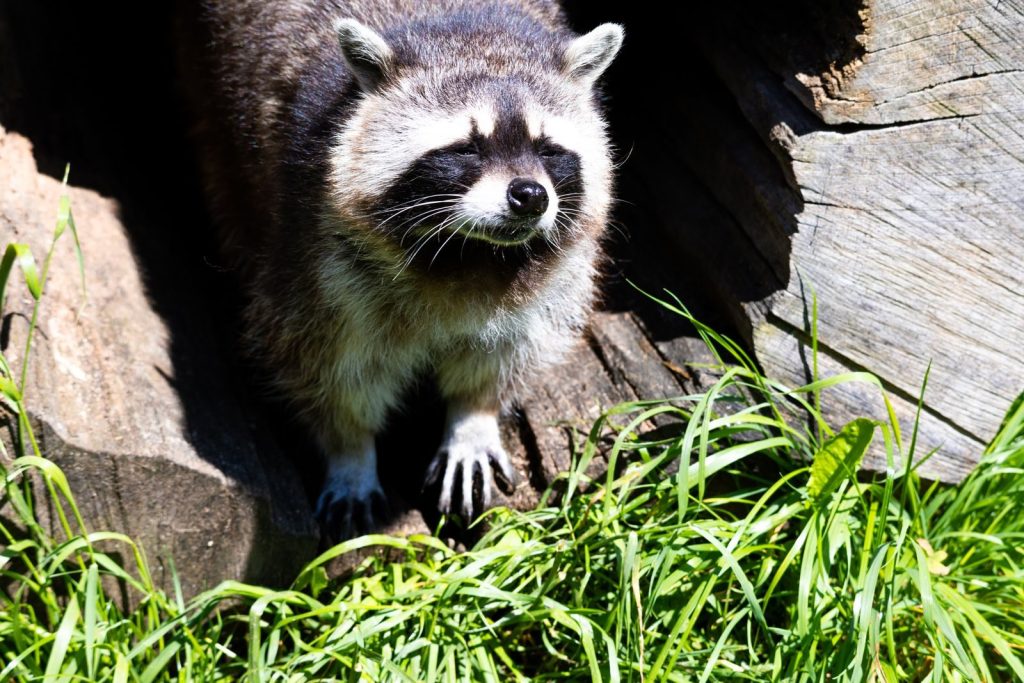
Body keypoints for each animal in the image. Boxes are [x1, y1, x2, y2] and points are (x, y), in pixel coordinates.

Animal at [179, 0, 623, 539]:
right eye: (467, 147)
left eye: (548, 149)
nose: (530, 196)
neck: (472, 254)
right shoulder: (312, 257)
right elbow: (324, 366)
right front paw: (350, 449)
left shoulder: (552, 275)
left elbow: (507, 349)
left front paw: (473, 415)